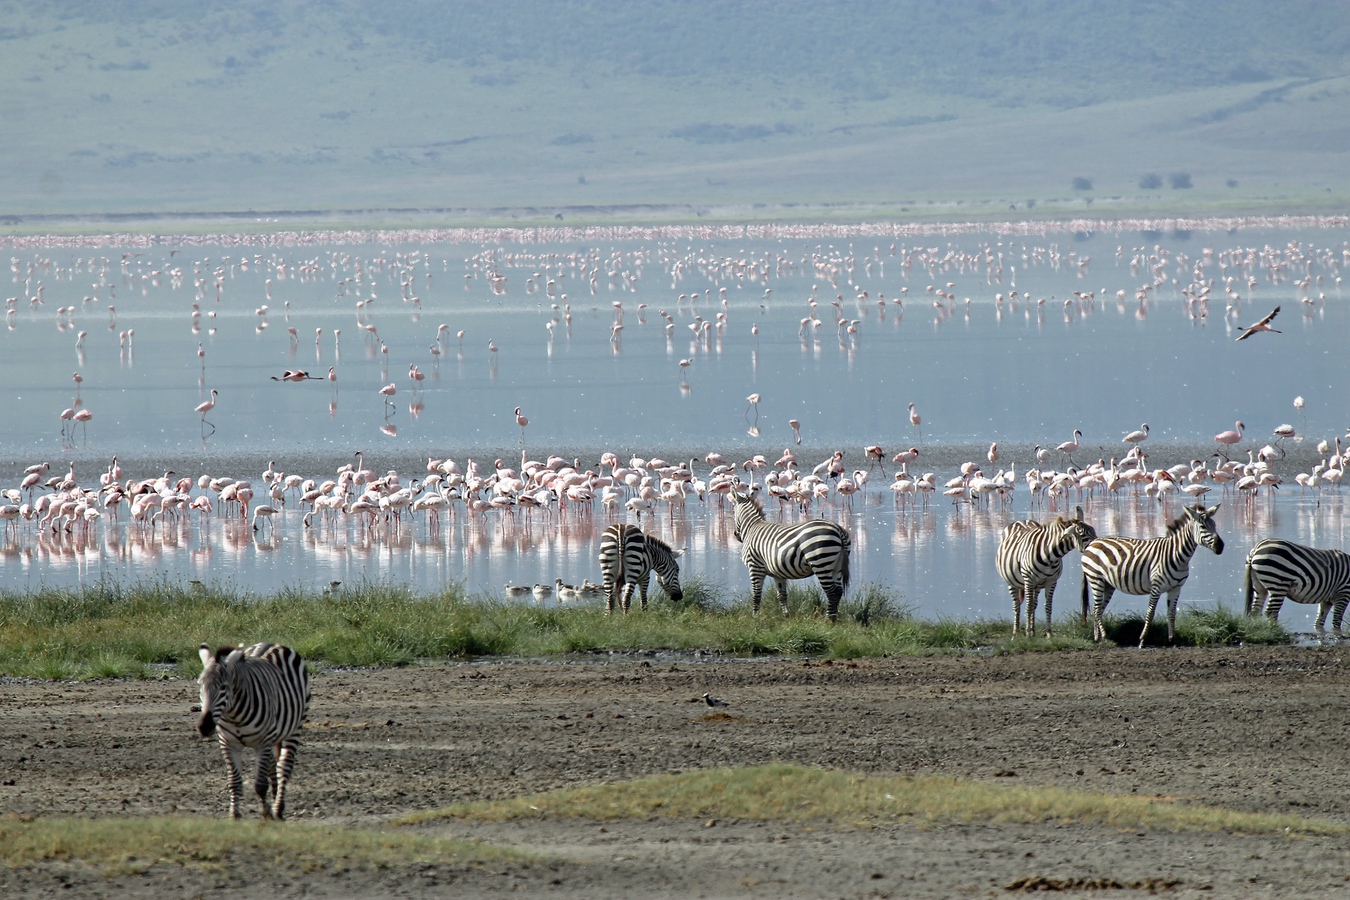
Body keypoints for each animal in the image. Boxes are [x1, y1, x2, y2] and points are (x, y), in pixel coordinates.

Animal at [197, 639, 310, 825]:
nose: (204, 727)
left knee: (283, 767)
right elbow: (234, 782)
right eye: (200, 685)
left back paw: (278, 809)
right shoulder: (228, 743)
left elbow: (260, 785)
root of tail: (273, 643)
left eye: (223, 687)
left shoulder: (262, 743)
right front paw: (234, 815)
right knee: (273, 765)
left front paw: (266, 814)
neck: (234, 715)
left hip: (295, 728)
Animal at [734, 485, 847, 620]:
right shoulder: (777, 573)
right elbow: (782, 595)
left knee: (832, 592)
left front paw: (755, 617)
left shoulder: (754, 567)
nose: (736, 535)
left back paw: (828, 620)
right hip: (836, 566)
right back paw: (833, 619)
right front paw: (786, 616)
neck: (752, 527)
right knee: (838, 591)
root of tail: (838, 528)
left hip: (821, 562)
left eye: (734, 512)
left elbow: (756, 594)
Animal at [993, 507, 1096, 639]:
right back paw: (1016, 632)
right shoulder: (1028, 580)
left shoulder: (1051, 581)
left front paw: (1048, 633)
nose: (1097, 545)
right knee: (1017, 605)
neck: (1051, 557)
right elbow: (1028, 607)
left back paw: (1033, 630)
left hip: (1037, 585)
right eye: (1083, 535)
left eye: (1093, 531)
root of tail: (1022, 520)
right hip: (1012, 582)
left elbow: (1048, 607)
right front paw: (1027, 634)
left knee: (1034, 603)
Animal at [1074, 507, 1225, 647]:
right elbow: (1150, 613)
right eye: (1203, 526)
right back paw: (1103, 637)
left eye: (1214, 525)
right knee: (1096, 609)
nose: (1221, 546)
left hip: (1108, 584)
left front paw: (1173, 640)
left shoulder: (1176, 588)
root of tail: (1092, 542)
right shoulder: (1156, 587)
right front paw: (1142, 640)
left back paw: (1097, 637)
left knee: (1098, 609)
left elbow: (1172, 614)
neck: (1177, 555)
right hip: (1096, 579)